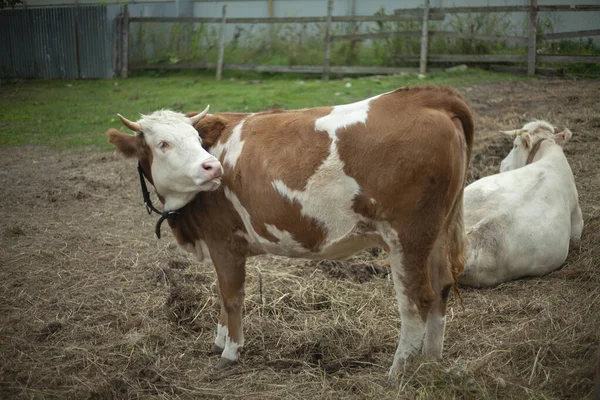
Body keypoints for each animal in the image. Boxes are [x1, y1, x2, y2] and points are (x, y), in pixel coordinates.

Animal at [109, 85, 474, 376]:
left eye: (197, 139)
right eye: (163, 144)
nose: (212, 167)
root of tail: (427, 96)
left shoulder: (225, 241)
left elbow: (231, 296)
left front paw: (230, 351)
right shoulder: (218, 245)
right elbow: (221, 294)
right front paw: (219, 340)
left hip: (407, 238)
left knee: (417, 299)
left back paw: (398, 371)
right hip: (436, 234)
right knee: (442, 287)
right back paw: (431, 360)